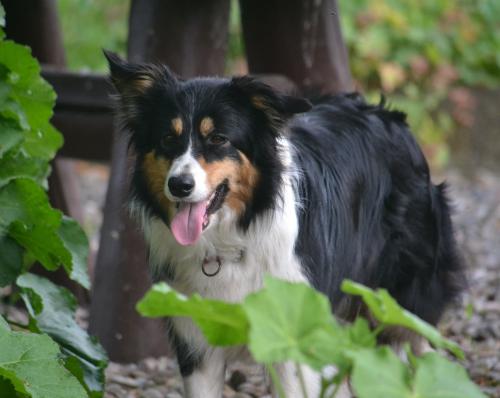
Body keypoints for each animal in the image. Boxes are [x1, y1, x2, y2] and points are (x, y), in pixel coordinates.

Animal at [104, 51, 464, 396]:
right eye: (168, 138)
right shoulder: (196, 339)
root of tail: (392, 117)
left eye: (219, 139)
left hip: (402, 300)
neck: (231, 240)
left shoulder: (296, 337)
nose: (179, 185)